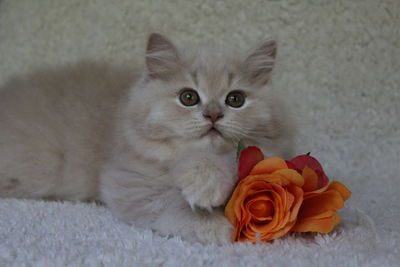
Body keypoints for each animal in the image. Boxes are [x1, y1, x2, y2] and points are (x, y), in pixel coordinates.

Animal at [0, 33, 294, 245]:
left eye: (235, 99)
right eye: (188, 97)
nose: (213, 115)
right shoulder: (126, 183)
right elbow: (172, 204)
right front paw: (212, 221)